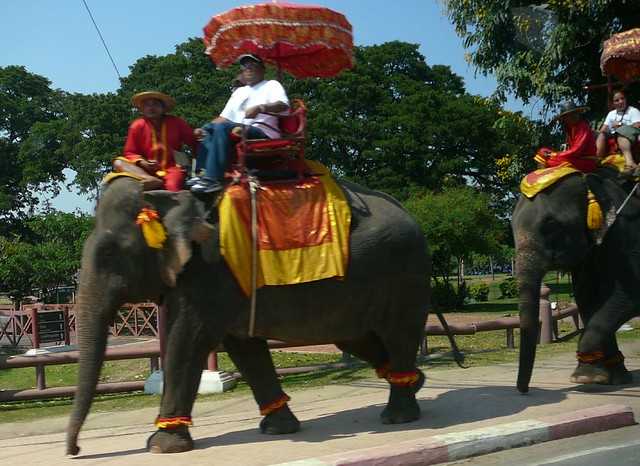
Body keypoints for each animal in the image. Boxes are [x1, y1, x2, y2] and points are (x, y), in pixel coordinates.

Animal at [66, 177, 430, 456]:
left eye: (110, 253)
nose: (75, 451)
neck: (172, 196)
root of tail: (409, 213)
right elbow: (244, 348)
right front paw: (277, 430)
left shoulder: (209, 275)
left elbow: (187, 342)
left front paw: (161, 445)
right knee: (357, 338)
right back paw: (415, 383)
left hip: (404, 275)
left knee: (397, 335)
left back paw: (398, 416)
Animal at [510, 164, 636, 394]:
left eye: (551, 225)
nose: (523, 390)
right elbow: (588, 301)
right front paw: (610, 378)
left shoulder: (629, 234)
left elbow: (628, 296)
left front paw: (584, 377)